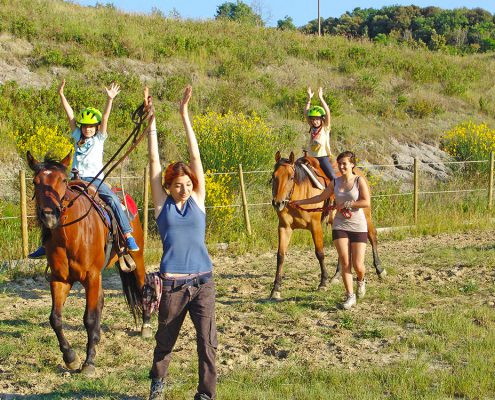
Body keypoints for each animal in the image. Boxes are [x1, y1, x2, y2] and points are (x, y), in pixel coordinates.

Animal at [26, 152, 151, 376]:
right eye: (35, 181)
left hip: (136, 258)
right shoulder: (60, 279)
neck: (70, 235)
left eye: (63, 180)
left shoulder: (91, 276)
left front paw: (89, 362)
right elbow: (55, 318)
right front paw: (71, 358)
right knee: (100, 300)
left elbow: (90, 318)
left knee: (142, 285)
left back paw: (146, 326)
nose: (49, 215)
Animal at [272, 151, 384, 300]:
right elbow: (280, 256)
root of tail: (358, 171)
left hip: (366, 215)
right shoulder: (284, 227)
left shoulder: (315, 226)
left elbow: (319, 253)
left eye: (291, 177)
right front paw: (275, 289)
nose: (278, 203)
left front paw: (323, 283)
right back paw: (337, 275)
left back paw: (379, 269)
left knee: (372, 235)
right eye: (274, 177)